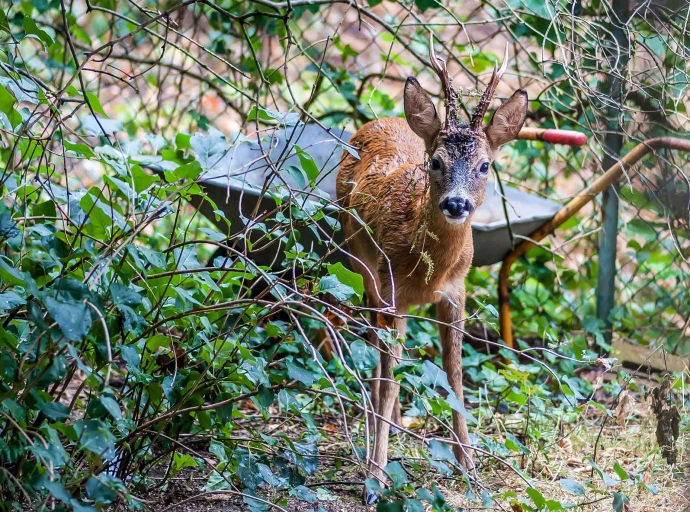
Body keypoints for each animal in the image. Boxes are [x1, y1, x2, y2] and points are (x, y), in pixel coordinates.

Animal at [336, 35, 524, 492]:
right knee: (374, 352)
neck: (428, 272)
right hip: (360, 266)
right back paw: (376, 431)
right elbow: (389, 379)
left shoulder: (456, 293)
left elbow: (456, 378)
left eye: (485, 165)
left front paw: (470, 467)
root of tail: (385, 119)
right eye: (436, 162)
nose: (456, 204)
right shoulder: (392, 291)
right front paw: (376, 476)